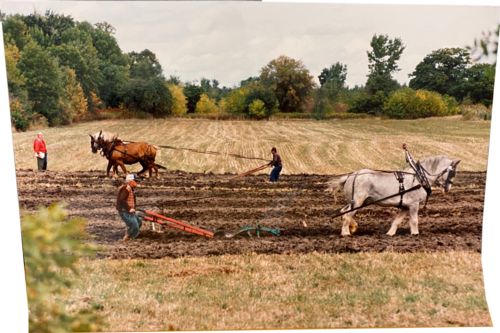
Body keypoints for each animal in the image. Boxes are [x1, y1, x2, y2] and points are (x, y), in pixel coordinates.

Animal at [328, 156, 460, 236]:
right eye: (452, 172)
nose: (448, 189)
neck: (419, 177)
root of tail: (351, 176)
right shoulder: (414, 204)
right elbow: (414, 221)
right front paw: (415, 234)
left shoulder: (405, 206)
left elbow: (397, 221)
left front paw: (390, 233)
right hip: (357, 201)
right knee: (346, 215)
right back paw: (346, 233)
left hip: (356, 201)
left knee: (343, 211)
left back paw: (353, 227)